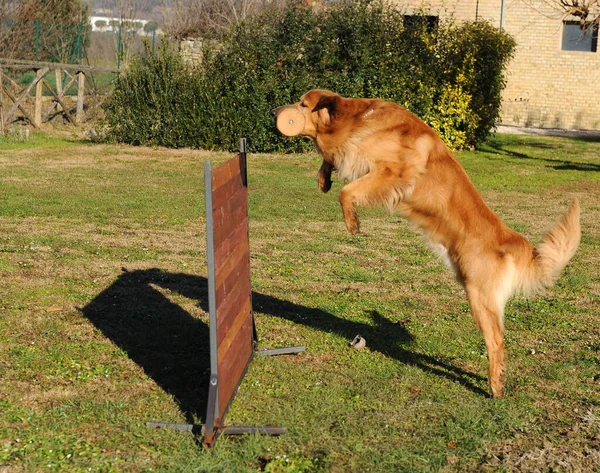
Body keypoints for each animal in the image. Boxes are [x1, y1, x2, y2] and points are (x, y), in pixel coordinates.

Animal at [274, 87, 580, 394]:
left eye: (303, 105)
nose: (276, 112)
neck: (359, 119)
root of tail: (510, 240)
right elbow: (331, 165)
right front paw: (324, 179)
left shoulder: (393, 173)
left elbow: (347, 191)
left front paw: (352, 222)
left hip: (480, 298)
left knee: (497, 342)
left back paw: (495, 385)